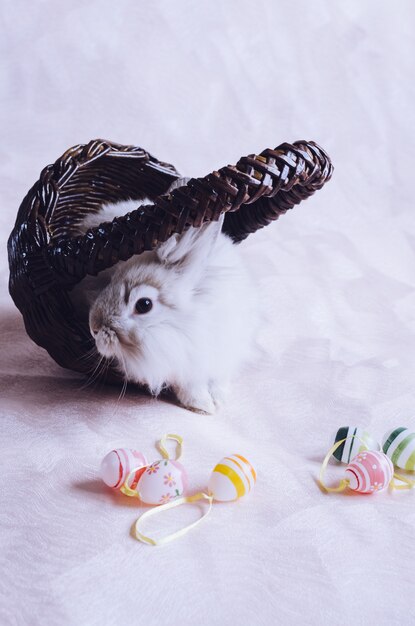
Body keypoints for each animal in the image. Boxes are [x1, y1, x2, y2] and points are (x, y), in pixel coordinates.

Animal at [73, 180, 258, 412]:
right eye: (112, 279)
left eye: (144, 305)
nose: (94, 327)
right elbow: (190, 386)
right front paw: (203, 405)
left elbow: (218, 381)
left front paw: (218, 400)